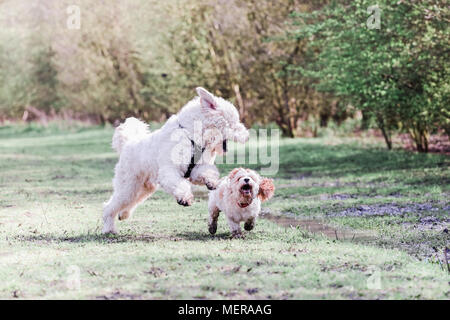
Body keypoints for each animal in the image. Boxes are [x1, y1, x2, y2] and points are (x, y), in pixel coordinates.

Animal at [102, 87, 248, 232]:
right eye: (233, 123)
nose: (247, 135)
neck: (191, 135)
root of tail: (127, 144)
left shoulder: (196, 170)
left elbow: (206, 173)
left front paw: (211, 181)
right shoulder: (170, 171)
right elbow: (180, 184)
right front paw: (185, 198)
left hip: (144, 188)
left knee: (130, 203)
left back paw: (123, 214)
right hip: (128, 186)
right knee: (109, 206)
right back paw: (109, 228)